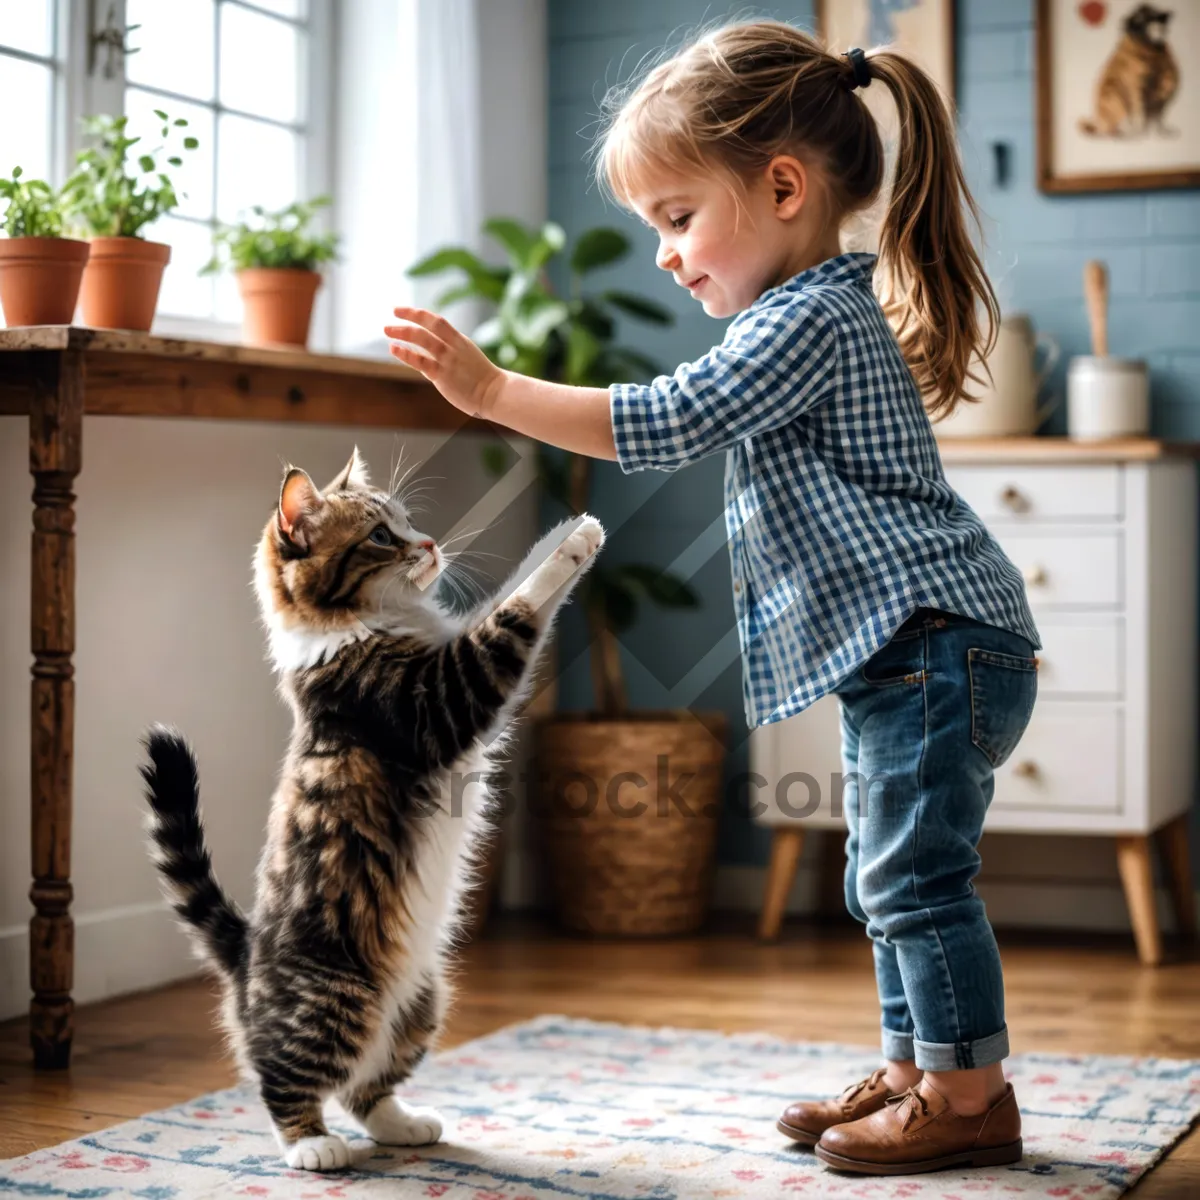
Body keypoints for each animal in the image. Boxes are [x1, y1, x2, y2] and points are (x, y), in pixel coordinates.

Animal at [141, 446, 604, 1166]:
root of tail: (244, 950)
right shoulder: (445, 697)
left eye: (407, 521)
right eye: (382, 536)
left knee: (367, 1087)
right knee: (284, 1080)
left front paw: (566, 529)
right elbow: (514, 610)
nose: (430, 543)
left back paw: (403, 1125)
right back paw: (310, 1146)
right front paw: (574, 545)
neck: (362, 626)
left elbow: (510, 589)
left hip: (422, 999)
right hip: (336, 1001)